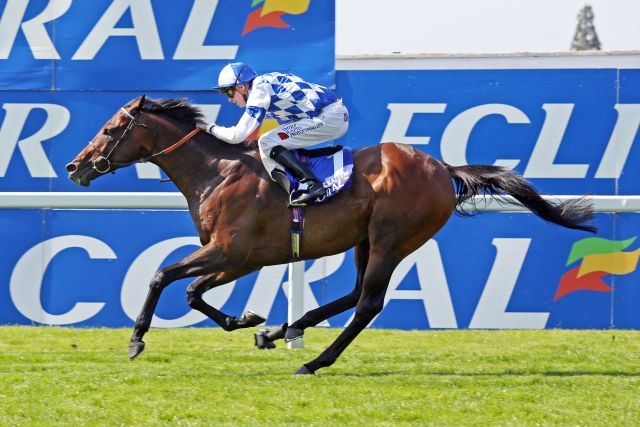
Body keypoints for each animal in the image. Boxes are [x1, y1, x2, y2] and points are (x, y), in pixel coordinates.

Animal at [66, 96, 596, 374]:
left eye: (111, 128)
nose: (75, 166)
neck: (217, 171)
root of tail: (442, 168)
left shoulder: (232, 253)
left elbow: (164, 277)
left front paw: (136, 340)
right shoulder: (237, 258)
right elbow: (194, 292)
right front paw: (249, 320)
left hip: (392, 239)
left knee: (368, 303)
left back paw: (315, 360)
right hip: (366, 240)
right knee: (356, 292)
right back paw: (287, 329)